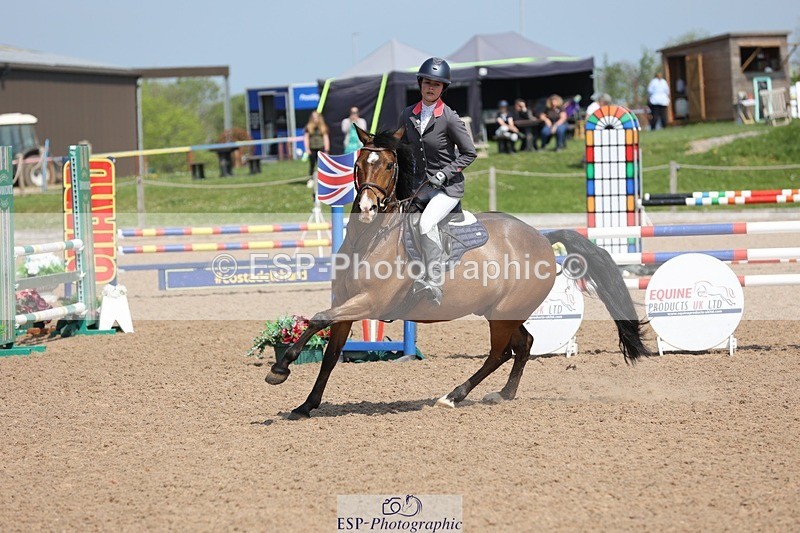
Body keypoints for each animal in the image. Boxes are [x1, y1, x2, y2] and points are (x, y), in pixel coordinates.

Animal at [265, 125, 650, 419]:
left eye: (389, 165)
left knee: (500, 353)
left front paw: (280, 369)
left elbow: (317, 318)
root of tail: (542, 237)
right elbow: (330, 355)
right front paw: (305, 405)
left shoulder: (370, 302)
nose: (366, 208)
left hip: (504, 313)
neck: (372, 237)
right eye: (358, 163)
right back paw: (503, 394)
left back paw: (453, 396)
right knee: (523, 345)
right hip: (501, 311)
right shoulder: (347, 304)